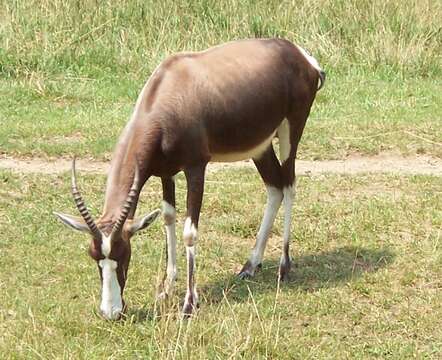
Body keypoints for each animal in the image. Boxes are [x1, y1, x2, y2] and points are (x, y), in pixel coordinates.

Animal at [54, 38, 324, 320]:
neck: (169, 88)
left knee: (289, 185)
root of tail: (303, 57)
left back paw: (284, 267)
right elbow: (168, 219)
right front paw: (165, 290)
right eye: (94, 255)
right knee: (275, 188)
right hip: (260, 146)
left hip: (291, 131)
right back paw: (250, 266)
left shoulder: (196, 168)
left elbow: (189, 233)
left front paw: (188, 304)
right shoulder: (166, 173)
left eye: (124, 252)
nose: (111, 312)